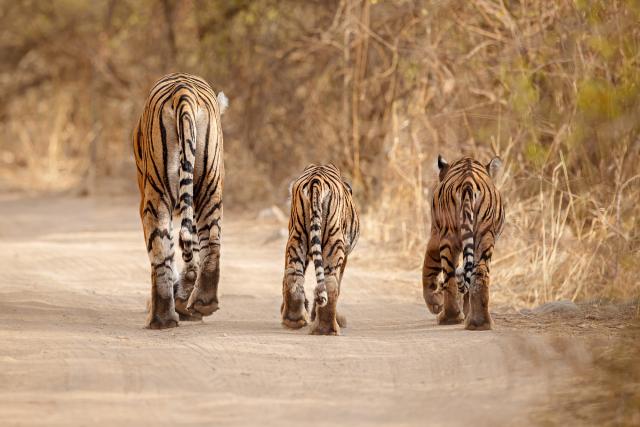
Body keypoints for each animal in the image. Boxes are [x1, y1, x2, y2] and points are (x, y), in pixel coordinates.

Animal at [133, 72, 228, 329]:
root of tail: (183, 91)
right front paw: (186, 302)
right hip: (209, 185)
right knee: (211, 241)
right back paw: (203, 302)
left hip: (155, 195)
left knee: (160, 249)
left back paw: (161, 318)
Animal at [280, 164, 360, 335]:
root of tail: (316, 178)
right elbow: (338, 284)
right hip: (334, 243)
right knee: (330, 283)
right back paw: (327, 328)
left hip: (297, 238)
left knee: (292, 276)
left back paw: (294, 321)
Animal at [422, 155, 505, 330]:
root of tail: (468, 181)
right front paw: (466, 310)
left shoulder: (435, 235)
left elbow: (428, 268)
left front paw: (434, 302)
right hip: (485, 236)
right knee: (480, 274)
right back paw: (479, 323)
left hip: (448, 236)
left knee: (450, 277)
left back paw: (448, 317)